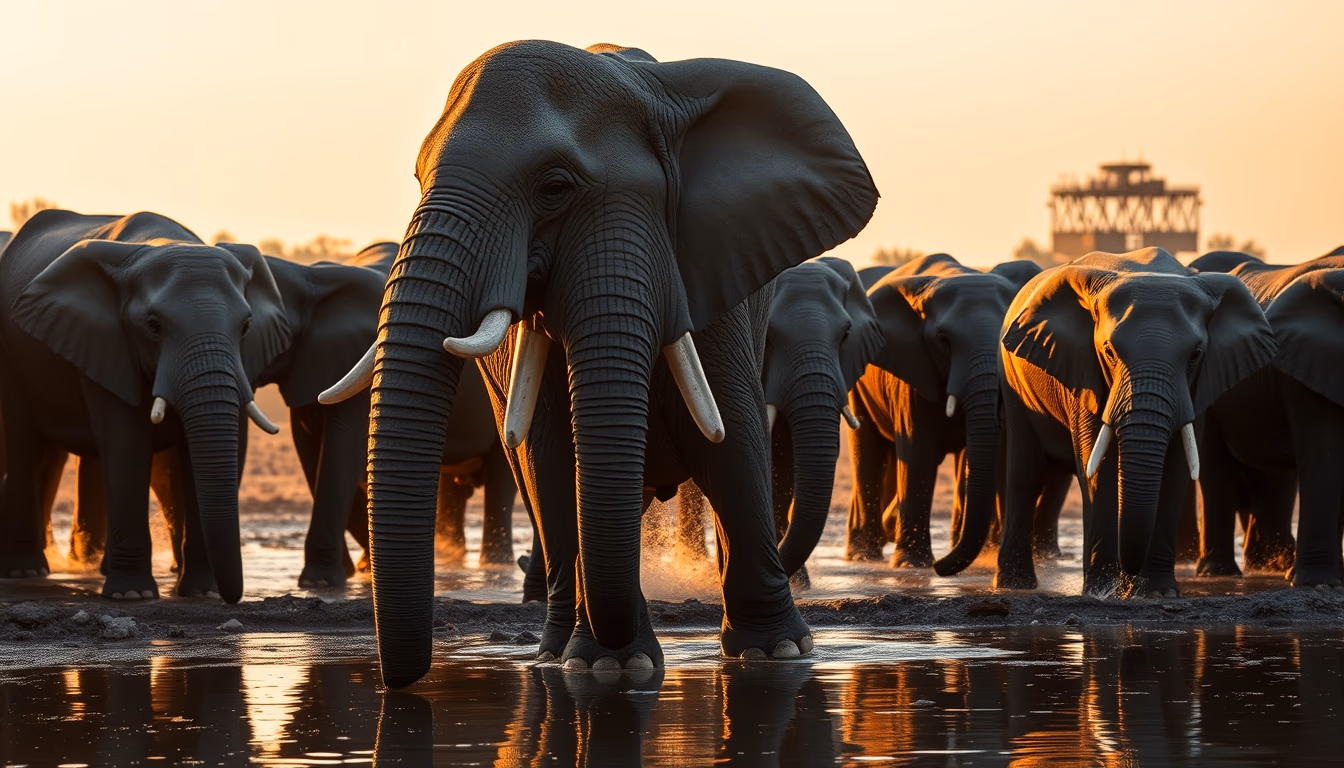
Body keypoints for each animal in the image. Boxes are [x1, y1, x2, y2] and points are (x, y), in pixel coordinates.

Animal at [0, 210, 288, 601]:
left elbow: (225, 446)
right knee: (24, 449)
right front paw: (131, 595)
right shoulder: (107, 342)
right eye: (153, 326)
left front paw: (202, 593)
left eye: (245, 326)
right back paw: (25, 571)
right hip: (11, 359)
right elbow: (126, 442)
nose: (233, 597)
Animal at [844, 254, 1061, 574]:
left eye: (1005, 338)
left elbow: (1000, 454)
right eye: (943, 341)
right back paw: (863, 556)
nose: (940, 568)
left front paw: (987, 557)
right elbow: (917, 449)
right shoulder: (913, 365)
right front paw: (912, 565)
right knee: (867, 449)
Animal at [995, 247, 1276, 597]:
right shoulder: (1084, 371)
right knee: (1026, 474)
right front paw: (1101, 592)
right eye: (1109, 351)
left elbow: (1176, 469)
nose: (1128, 575)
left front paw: (1155, 592)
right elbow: (1098, 469)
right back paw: (1014, 585)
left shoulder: (1197, 386)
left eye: (1196, 354)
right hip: (1011, 381)